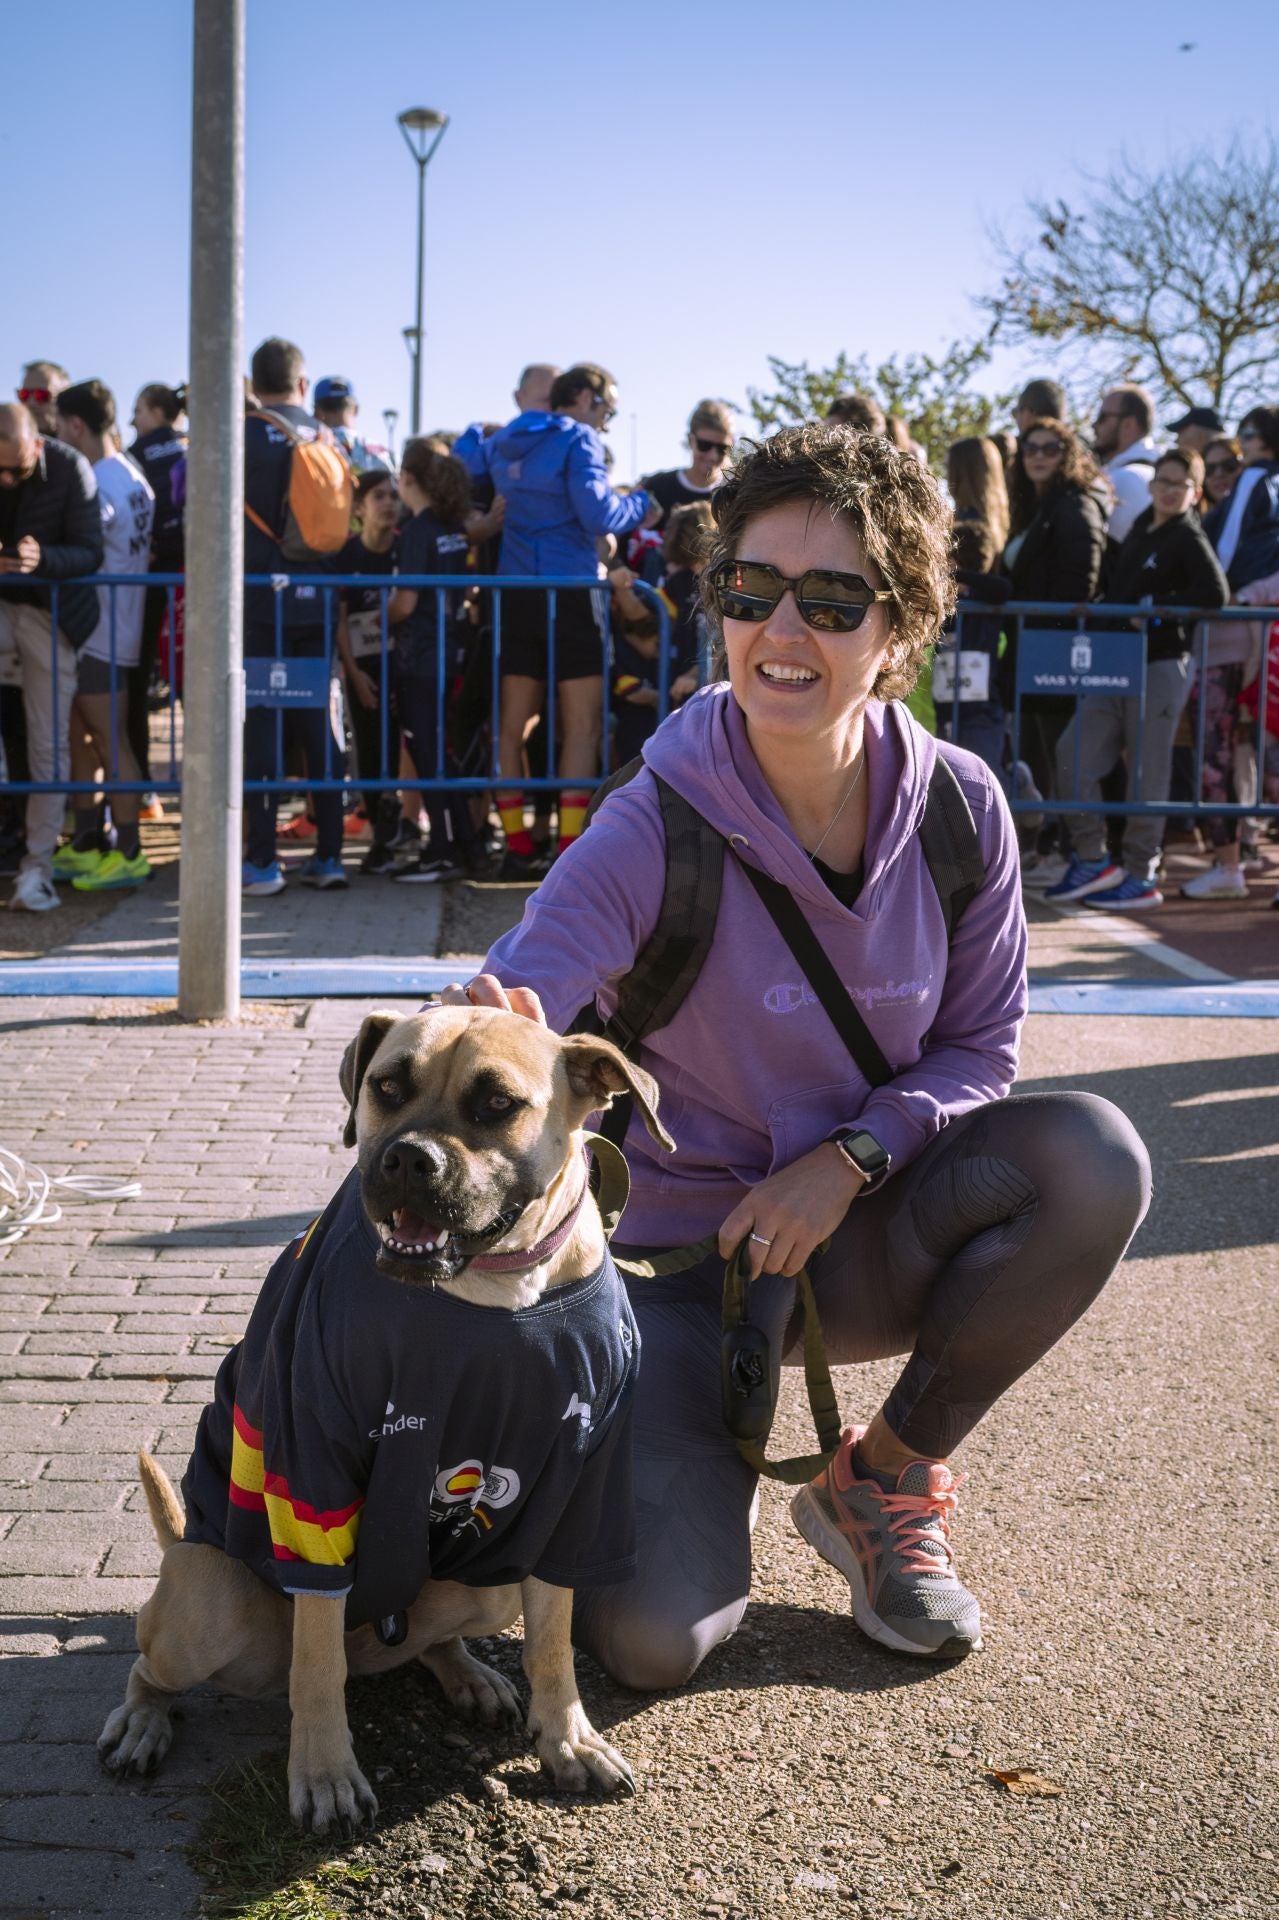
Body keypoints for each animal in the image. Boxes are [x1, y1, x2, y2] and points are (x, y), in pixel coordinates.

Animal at [96, 1006, 672, 1827]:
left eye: (498, 1103)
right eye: (388, 1086)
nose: (406, 1159)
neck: (492, 1292)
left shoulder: (576, 1492)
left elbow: (553, 1642)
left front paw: (567, 1738)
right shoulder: (313, 1479)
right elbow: (315, 1665)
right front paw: (325, 1774)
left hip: (491, 1580)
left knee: (427, 1642)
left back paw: (467, 1675)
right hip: (208, 1603)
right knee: (156, 1668)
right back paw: (143, 1722)